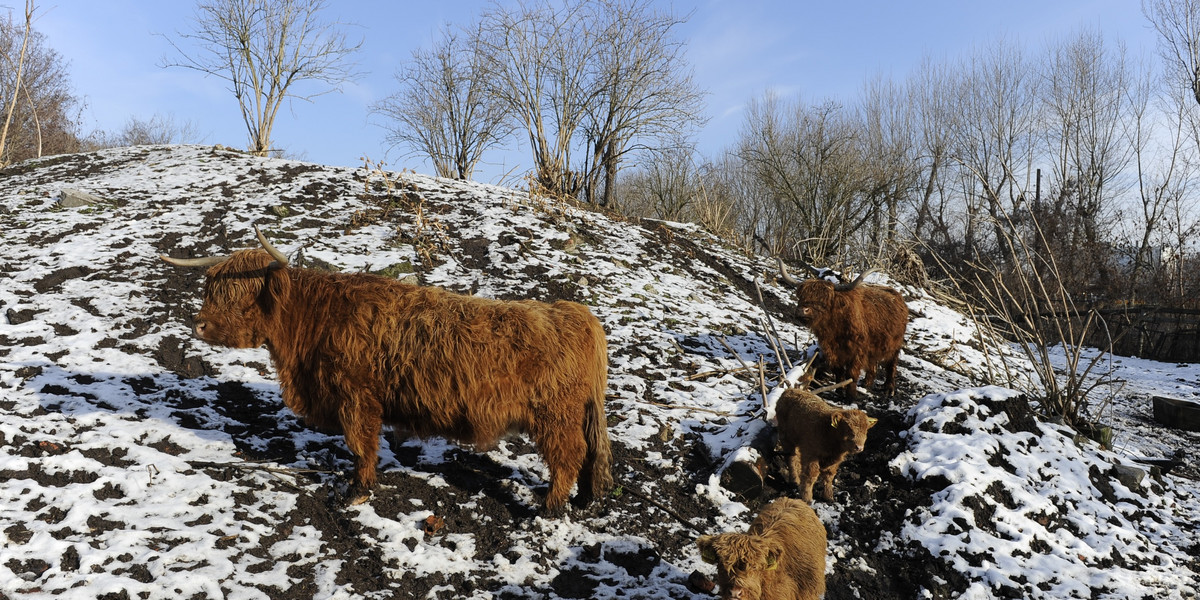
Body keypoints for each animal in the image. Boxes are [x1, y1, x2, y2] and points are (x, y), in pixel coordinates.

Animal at [162, 225, 609, 511]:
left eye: (241, 296)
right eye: (212, 290)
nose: (198, 324)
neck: (313, 321)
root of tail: (574, 314)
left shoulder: (356, 396)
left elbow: (361, 445)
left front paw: (357, 491)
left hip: (555, 414)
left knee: (569, 455)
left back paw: (551, 506)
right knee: (590, 455)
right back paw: (585, 500)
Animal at [772, 256, 902, 398]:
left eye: (823, 301)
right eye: (801, 296)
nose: (802, 311)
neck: (835, 328)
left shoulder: (857, 352)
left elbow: (852, 374)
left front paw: (850, 397)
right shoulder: (833, 351)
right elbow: (839, 372)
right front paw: (840, 390)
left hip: (894, 345)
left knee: (891, 365)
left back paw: (889, 389)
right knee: (873, 364)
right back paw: (867, 383)